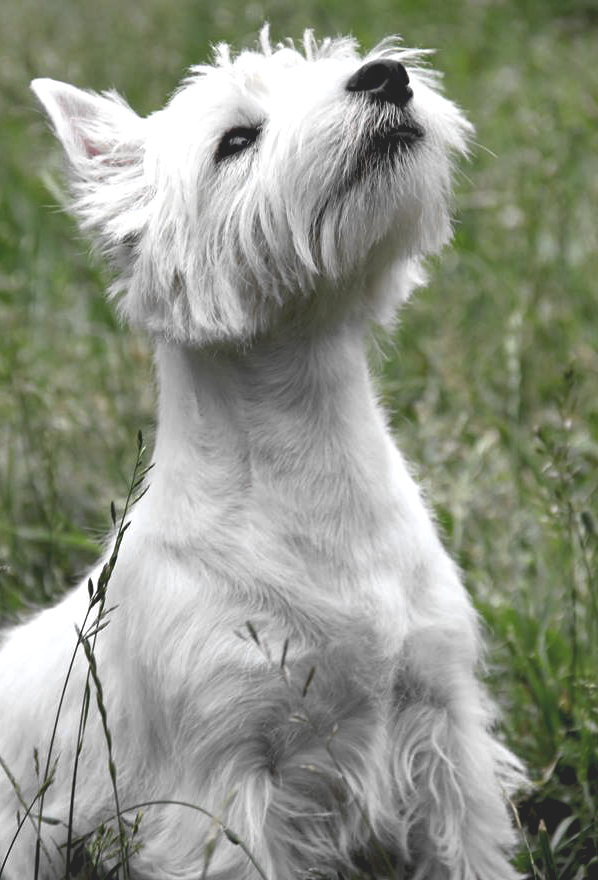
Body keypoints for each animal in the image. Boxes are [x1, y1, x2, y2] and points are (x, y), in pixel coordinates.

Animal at [0, 27, 524, 880]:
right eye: (237, 140)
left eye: (335, 60)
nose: (386, 77)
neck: (312, 458)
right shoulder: (225, 784)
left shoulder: (442, 719)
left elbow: (467, 844)